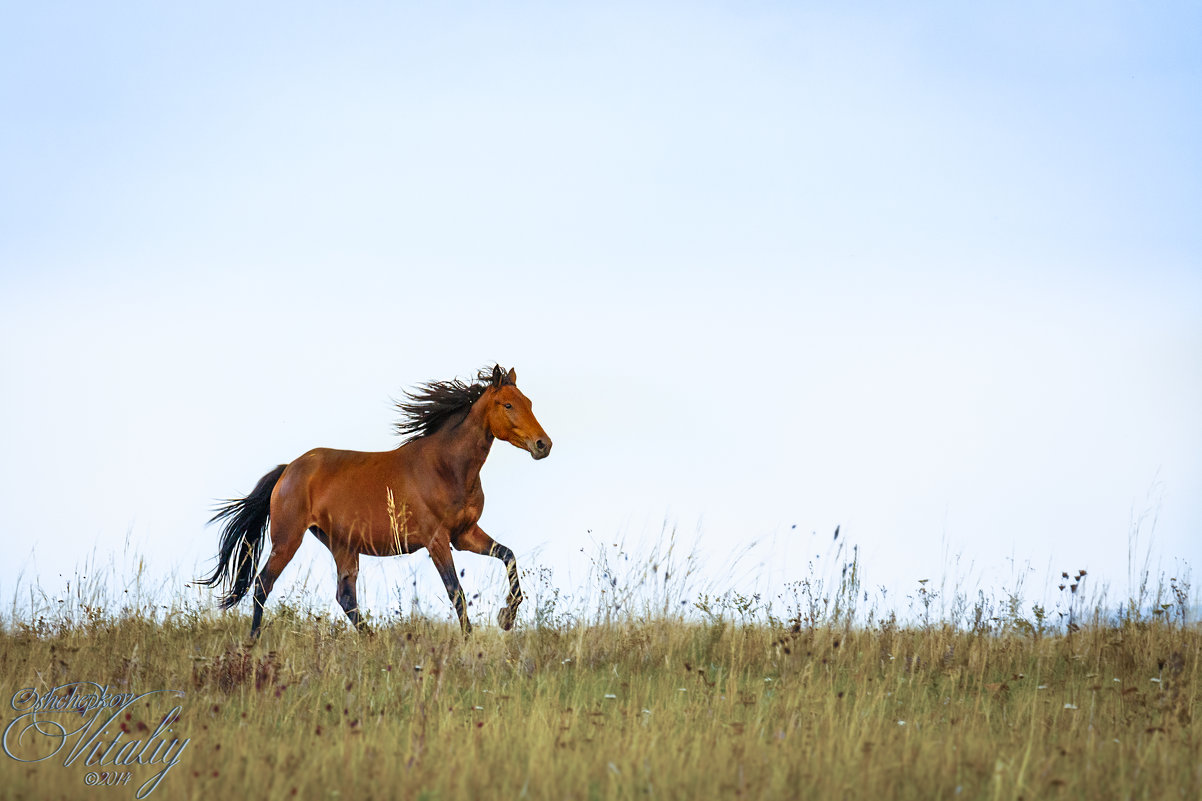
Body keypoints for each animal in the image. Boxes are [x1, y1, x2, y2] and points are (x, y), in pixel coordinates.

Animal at [198, 365, 552, 639]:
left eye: (529, 402)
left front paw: (506, 618)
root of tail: (288, 470)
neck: (447, 466)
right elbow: (457, 594)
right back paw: (253, 644)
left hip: (342, 544)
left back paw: (374, 641)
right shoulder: (437, 540)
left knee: (345, 597)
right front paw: (469, 643)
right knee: (262, 586)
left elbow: (508, 557)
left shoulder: (464, 534)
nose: (543, 444)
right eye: (507, 405)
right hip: (288, 540)